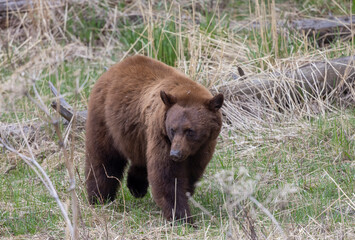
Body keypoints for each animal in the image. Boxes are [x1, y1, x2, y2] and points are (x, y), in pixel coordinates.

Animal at [85, 54, 224, 223]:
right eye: (172, 129)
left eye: (190, 131)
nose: (175, 154)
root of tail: (112, 69)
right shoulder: (161, 135)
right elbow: (167, 176)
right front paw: (182, 216)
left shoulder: (204, 147)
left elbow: (191, 173)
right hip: (105, 120)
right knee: (103, 159)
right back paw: (99, 197)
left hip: (137, 136)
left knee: (139, 159)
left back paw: (136, 186)